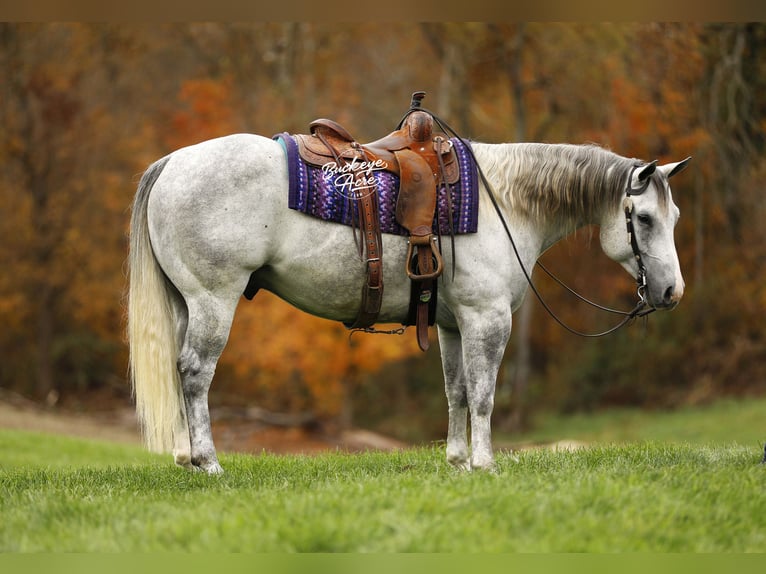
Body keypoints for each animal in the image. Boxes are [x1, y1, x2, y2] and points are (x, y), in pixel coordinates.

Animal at [128, 133, 690, 474]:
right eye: (643, 219)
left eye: (675, 216)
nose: (671, 293)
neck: (504, 201)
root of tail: (173, 162)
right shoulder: (487, 319)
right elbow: (484, 394)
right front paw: (485, 463)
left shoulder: (452, 324)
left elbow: (457, 391)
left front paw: (458, 461)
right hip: (212, 300)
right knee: (195, 372)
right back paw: (208, 460)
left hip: (186, 304)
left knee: (178, 370)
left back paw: (185, 455)